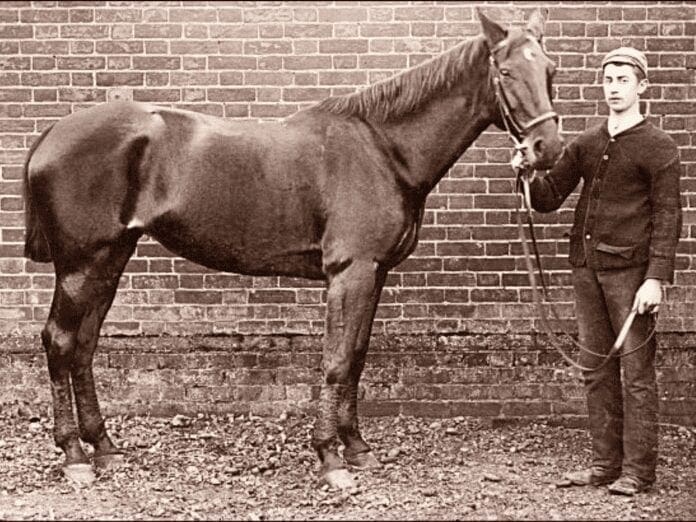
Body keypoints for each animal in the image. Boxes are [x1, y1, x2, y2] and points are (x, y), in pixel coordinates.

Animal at [22, 8, 562, 489]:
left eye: (550, 70)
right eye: (506, 71)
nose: (548, 149)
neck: (383, 149)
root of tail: (51, 133)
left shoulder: (374, 272)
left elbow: (356, 356)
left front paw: (357, 447)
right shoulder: (350, 271)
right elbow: (336, 360)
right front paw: (331, 458)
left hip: (110, 258)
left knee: (85, 345)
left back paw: (105, 447)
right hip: (81, 263)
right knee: (60, 341)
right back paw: (74, 456)